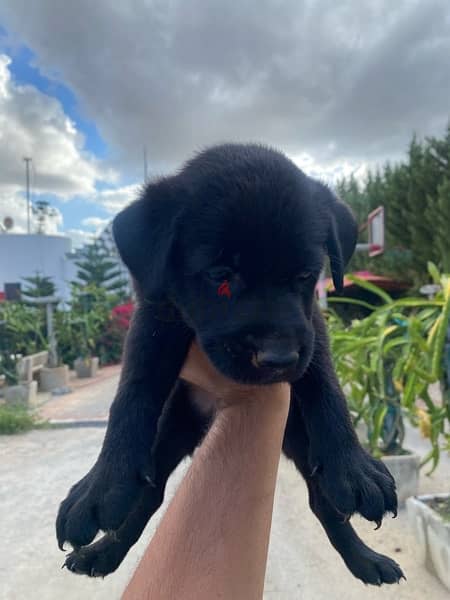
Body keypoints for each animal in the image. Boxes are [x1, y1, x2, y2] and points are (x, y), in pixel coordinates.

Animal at [57, 143, 404, 584]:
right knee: (147, 497)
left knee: (323, 504)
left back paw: (366, 561)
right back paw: (101, 554)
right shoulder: (153, 318)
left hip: (301, 439)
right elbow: (132, 393)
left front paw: (355, 468)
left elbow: (327, 386)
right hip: (169, 433)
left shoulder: (311, 326)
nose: (278, 359)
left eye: (306, 275)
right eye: (220, 274)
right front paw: (100, 486)